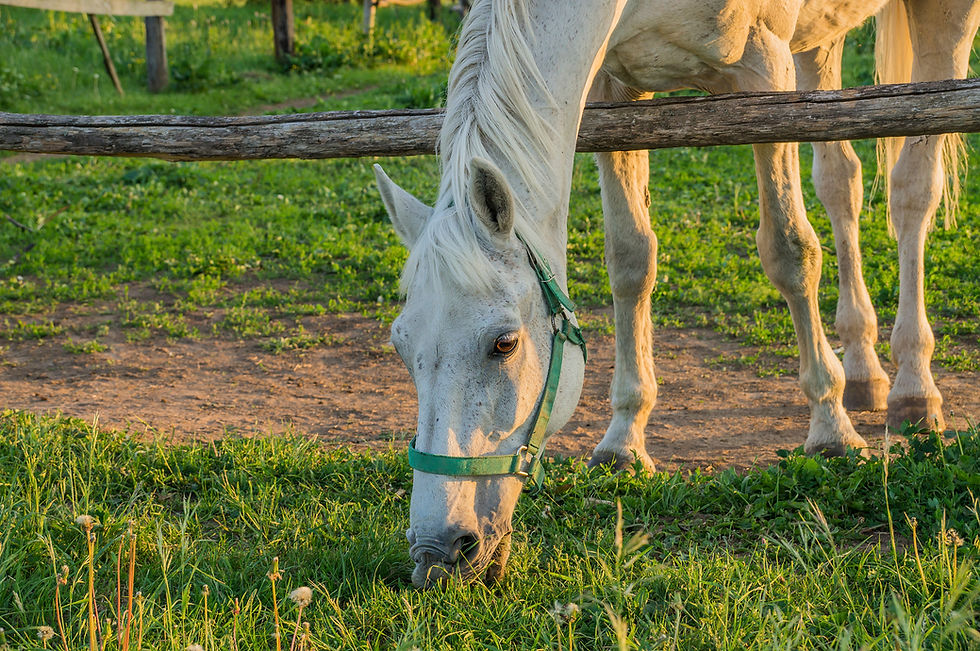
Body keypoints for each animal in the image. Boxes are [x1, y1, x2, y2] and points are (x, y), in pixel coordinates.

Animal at [373, 0, 980, 587]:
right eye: (401, 346)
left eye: (504, 343)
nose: (437, 552)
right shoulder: (614, 90)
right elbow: (630, 257)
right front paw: (624, 439)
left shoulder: (764, 72)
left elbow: (790, 252)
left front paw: (830, 428)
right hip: (822, 43)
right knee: (841, 181)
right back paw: (862, 370)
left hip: (941, 21)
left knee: (912, 190)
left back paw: (913, 387)